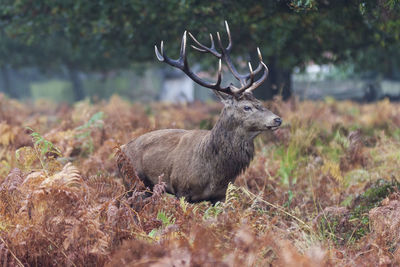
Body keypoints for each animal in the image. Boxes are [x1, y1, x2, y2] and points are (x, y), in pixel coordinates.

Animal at [120, 21, 282, 204]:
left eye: (259, 102)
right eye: (246, 107)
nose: (277, 119)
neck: (214, 174)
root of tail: (122, 149)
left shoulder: (221, 195)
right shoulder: (181, 189)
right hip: (134, 183)